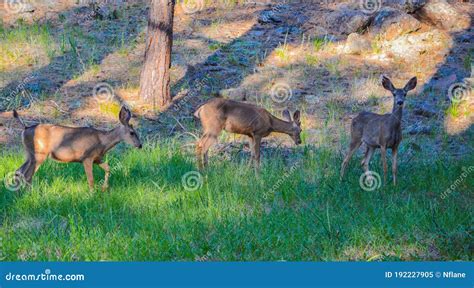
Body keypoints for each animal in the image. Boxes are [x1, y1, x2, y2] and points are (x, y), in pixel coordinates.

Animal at [12, 106, 142, 191]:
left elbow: (108, 168)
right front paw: (92, 194)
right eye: (132, 133)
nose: (140, 145)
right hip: (39, 154)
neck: (103, 142)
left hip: (29, 154)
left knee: (19, 171)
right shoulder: (87, 157)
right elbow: (91, 179)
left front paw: (104, 188)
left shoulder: (97, 159)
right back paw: (31, 193)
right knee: (27, 175)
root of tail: (25, 128)